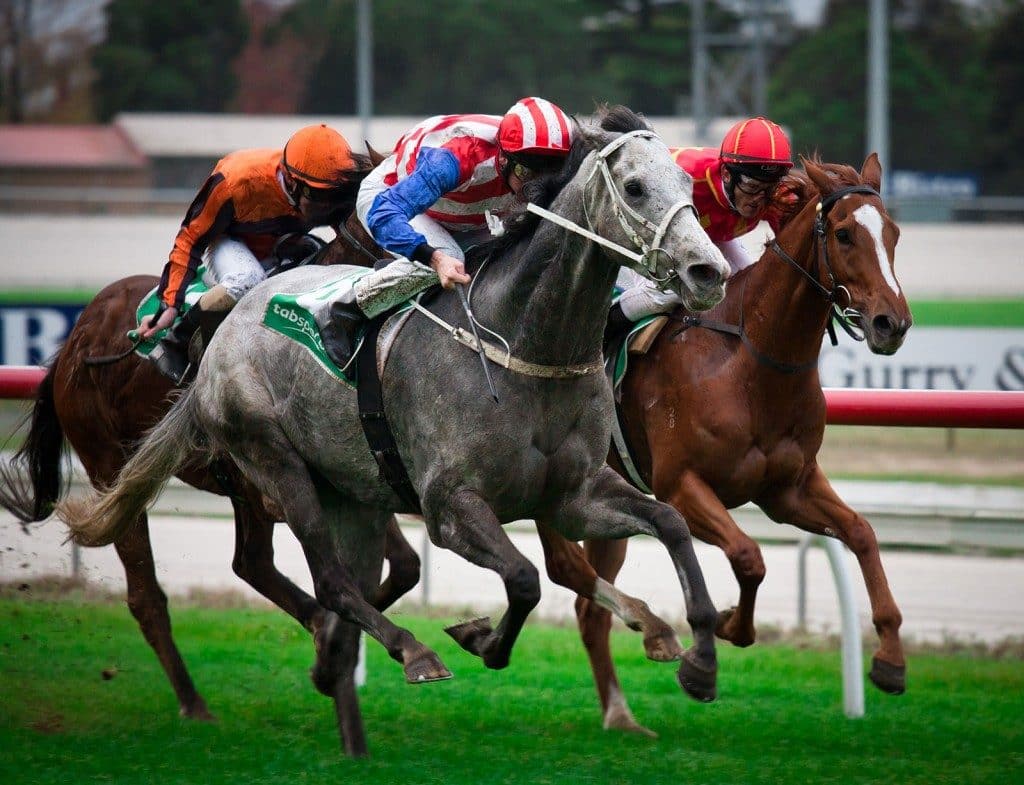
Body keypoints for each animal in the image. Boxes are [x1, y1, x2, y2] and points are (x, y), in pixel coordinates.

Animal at [0, 212, 421, 736]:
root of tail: (73, 342)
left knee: (251, 563)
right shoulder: (285, 482)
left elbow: (404, 565)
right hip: (109, 464)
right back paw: (193, 701)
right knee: (147, 594)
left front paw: (337, 644)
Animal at [61, 107, 729, 757]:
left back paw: (349, 721)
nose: (709, 271)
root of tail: (226, 328)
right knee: (328, 583)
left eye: (688, 181)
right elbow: (523, 580)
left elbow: (670, 524)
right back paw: (412, 652)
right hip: (275, 463)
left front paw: (699, 662)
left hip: (352, 496)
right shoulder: (450, 506)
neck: (524, 347)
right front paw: (478, 638)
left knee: (343, 591)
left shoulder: (575, 495)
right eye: (636, 187)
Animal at [540, 155, 917, 736]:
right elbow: (749, 556)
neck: (750, 363)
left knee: (589, 609)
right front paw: (717, 639)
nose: (890, 324)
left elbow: (862, 533)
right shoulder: (681, 487)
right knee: (565, 568)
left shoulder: (788, 489)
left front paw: (890, 658)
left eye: (893, 233)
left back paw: (623, 713)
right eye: (845, 234)